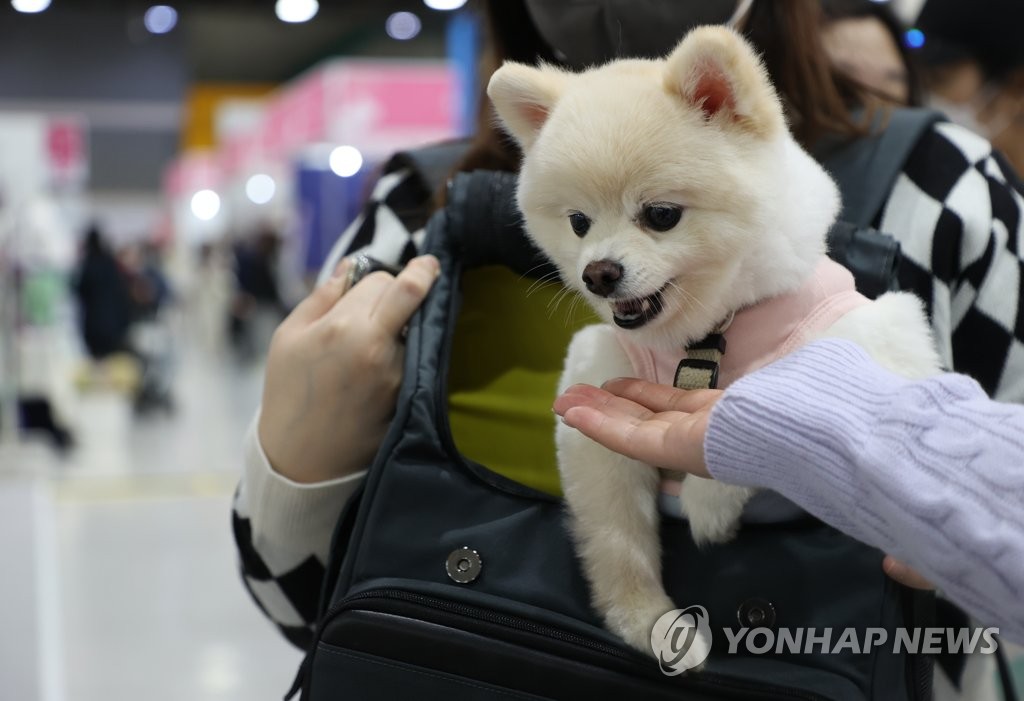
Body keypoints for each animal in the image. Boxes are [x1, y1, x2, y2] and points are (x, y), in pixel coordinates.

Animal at [483, 24, 937, 663]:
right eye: (577, 222)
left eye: (661, 215)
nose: (598, 273)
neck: (708, 329)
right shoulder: (599, 380)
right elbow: (618, 537)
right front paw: (647, 620)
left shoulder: (880, 342)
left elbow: (774, 402)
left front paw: (709, 501)